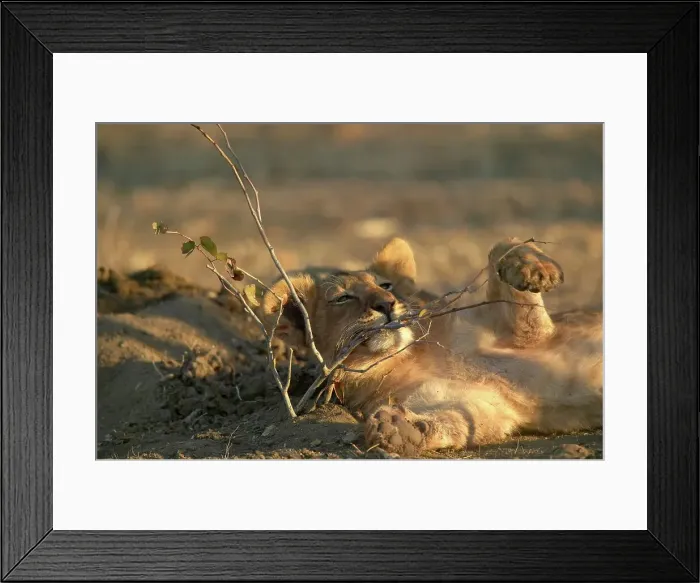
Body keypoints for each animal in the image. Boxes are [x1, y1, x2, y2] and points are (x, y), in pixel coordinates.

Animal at [260, 237, 603, 457]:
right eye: (343, 298)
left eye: (386, 285)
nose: (387, 304)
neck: (405, 357)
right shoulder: (489, 406)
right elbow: (456, 423)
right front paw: (402, 430)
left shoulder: (530, 335)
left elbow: (503, 245)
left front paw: (536, 271)